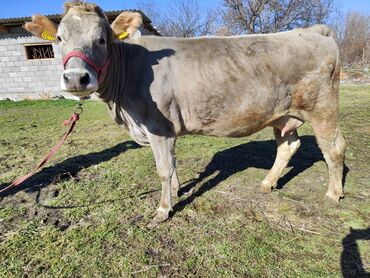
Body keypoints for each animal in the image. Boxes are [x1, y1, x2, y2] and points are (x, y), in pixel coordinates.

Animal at [23, 1, 346, 226]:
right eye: (59, 38)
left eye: (102, 39)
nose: (76, 79)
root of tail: (313, 31)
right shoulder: (165, 129)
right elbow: (173, 164)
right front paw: (178, 191)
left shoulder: (157, 126)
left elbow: (163, 169)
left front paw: (163, 210)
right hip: (282, 115)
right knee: (289, 145)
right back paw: (268, 183)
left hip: (323, 107)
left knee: (334, 148)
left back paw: (334, 194)